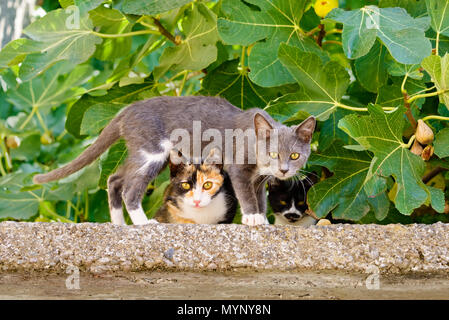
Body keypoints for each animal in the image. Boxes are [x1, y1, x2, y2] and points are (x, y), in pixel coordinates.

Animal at [33, 96, 316, 226]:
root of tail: (127, 109)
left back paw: (119, 224)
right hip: (152, 151)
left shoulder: (259, 179)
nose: (283, 170)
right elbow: (247, 195)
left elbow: (260, 197)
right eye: (273, 154)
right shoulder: (238, 167)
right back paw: (143, 223)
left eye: (294, 155)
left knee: (115, 178)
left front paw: (263, 220)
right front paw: (253, 218)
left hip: (141, 152)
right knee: (130, 188)